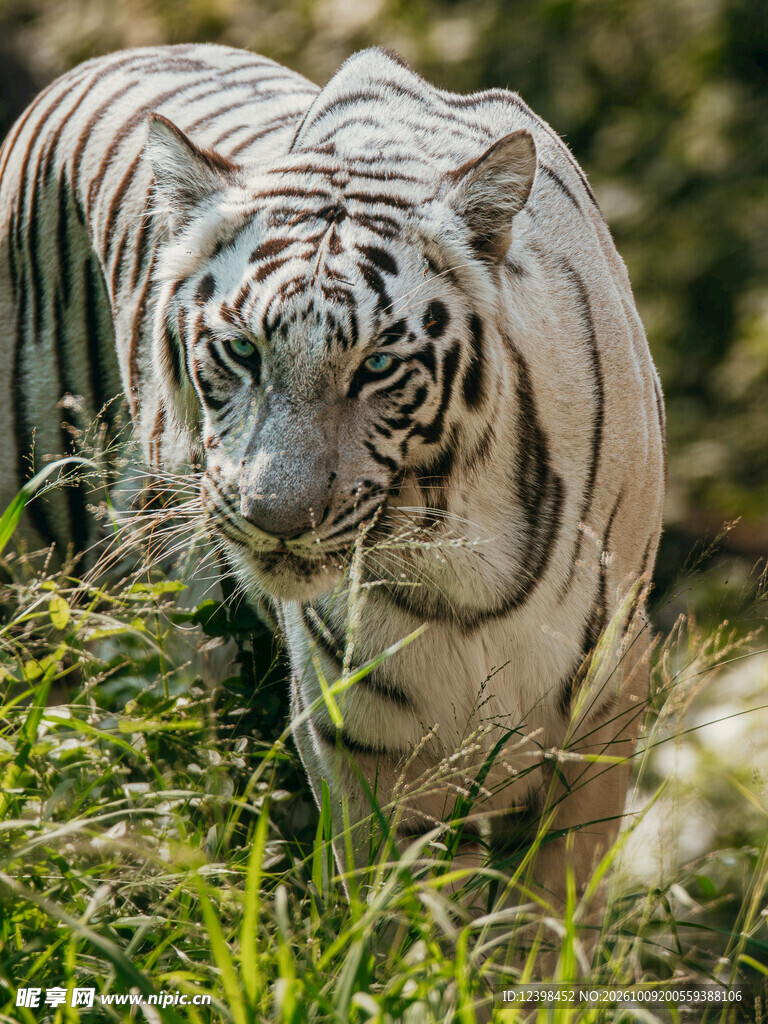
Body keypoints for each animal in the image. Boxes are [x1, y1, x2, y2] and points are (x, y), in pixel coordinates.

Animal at [0, 43, 665, 922]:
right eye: (241, 351)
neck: (459, 564)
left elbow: (545, 928)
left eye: (378, 365)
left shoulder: (596, 727)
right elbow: (385, 929)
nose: (275, 518)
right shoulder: (365, 760)